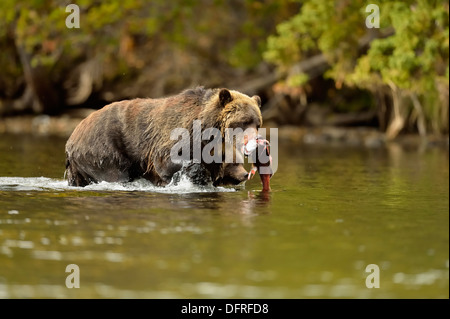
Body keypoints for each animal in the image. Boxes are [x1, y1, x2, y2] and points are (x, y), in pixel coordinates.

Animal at [67, 86, 264, 189]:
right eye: (244, 121)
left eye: (257, 123)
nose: (257, 142)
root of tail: (72, 138)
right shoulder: (178, 135)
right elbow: (167, 161)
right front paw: (196, 173)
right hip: (105, 149)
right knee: (116, 173)